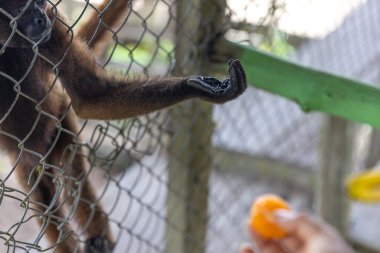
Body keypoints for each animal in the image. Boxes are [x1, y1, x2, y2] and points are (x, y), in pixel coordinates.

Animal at [0, 0, 246, 253]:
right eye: (24, 8)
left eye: (40, 3)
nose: (41, 18)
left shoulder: (54, 26)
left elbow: (91, 94)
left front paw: (196, 87)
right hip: (26, 151)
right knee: (40, 192)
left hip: (60, 120)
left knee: (69, 168)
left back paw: (98, 240)